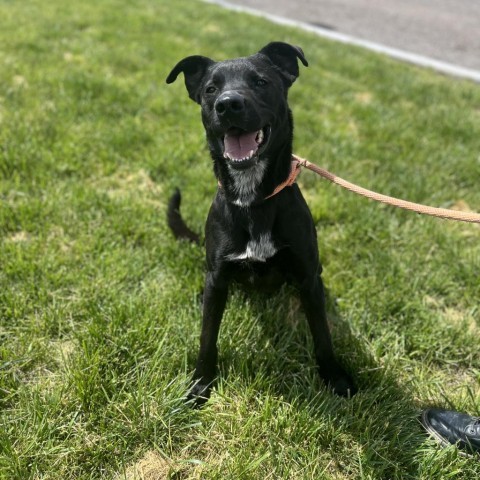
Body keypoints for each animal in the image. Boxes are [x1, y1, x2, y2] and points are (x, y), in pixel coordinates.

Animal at [166, 43, 356, 406]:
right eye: (211, 89)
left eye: (260, 82)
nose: (228, 104)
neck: (252, 198)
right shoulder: (218, 277)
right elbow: (207, 338)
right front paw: (200, 384)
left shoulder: (308, 276)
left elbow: (322, 333)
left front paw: (334, 376)